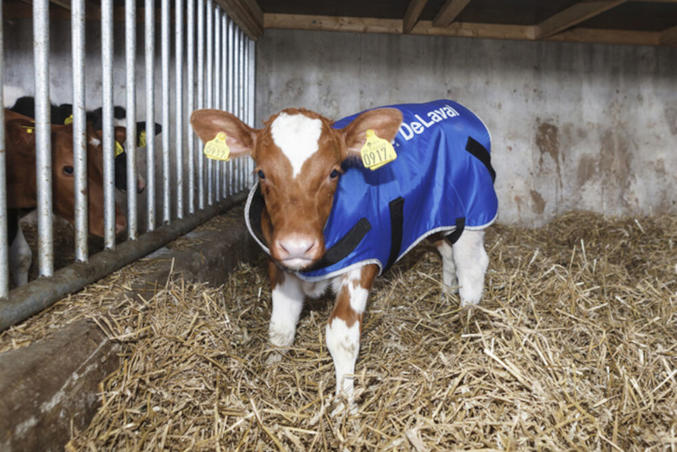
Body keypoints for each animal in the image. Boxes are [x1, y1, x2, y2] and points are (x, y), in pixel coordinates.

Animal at [190, 99, 498, 414]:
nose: (297, 246)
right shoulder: (280, 269)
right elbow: (280, 330)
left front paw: (344, 404)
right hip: (432, 212)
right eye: (261, 173)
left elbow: (342, 338)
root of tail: (456, 107)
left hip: (473, 210)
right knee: (448, 252)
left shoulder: (361, 266)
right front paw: (271, 372)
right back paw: (447, 295)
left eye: (333, 172)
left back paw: (467, 319)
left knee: (472, 266)